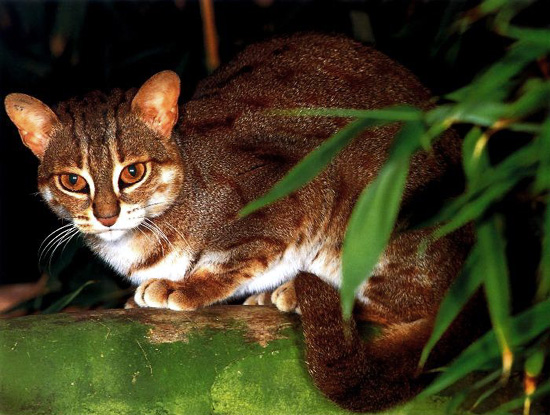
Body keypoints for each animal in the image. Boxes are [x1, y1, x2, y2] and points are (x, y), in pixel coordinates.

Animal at [4, 34, 478, 412]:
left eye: (132, 173)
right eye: (72, 181)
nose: (106, 216)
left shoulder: (301, 190)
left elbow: (235, 258)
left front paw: (187, 287)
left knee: (412, 304)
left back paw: (292, 292)